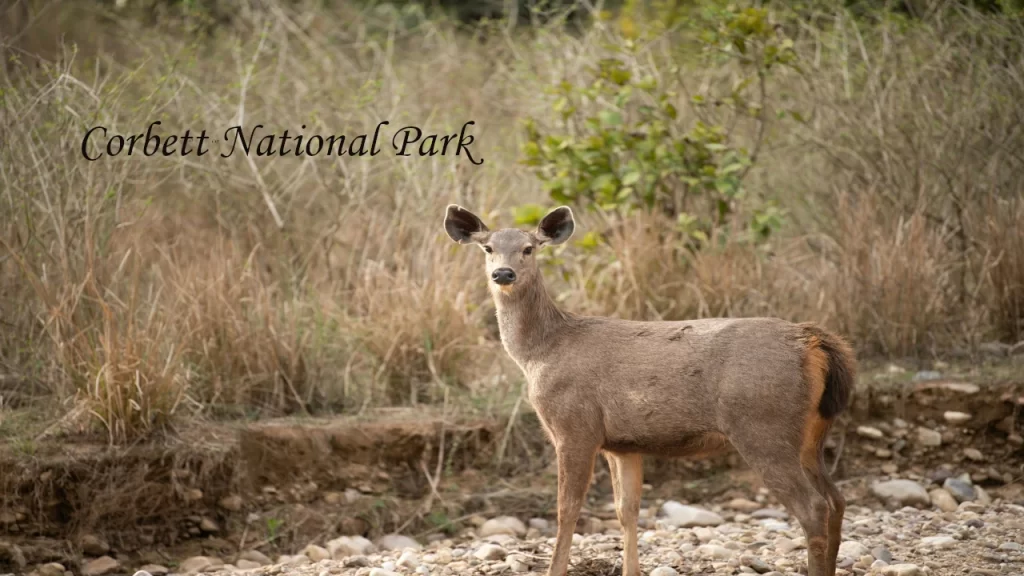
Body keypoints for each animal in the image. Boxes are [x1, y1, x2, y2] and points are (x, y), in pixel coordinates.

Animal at [443, 204, 856, 576]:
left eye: (529, 248)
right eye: (487, 247)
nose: (503, 273)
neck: (540, 353)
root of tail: (813, 341)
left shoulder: (574, 425)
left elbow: (567, 509)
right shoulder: (621, 444)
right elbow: (626, 510)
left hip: (762, 425)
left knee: (814, 507)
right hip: (809, 434)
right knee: (836, 500)